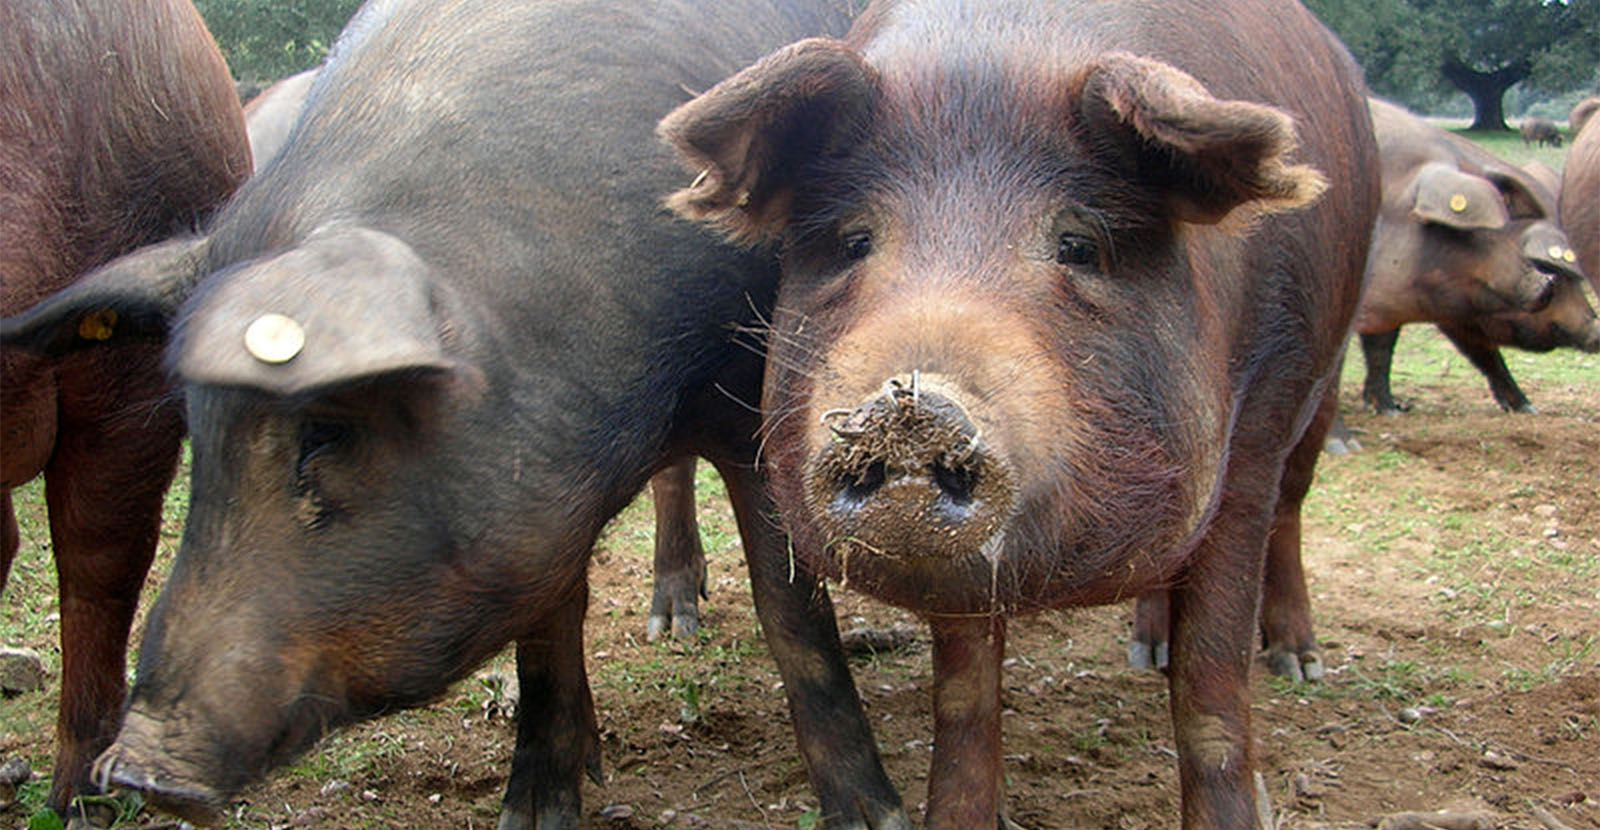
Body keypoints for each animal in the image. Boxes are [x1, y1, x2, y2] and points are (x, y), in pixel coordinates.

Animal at [656, 0, 1382, 825]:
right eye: (854, 240)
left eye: (1078, 244)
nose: (910, 408)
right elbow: (965, 692)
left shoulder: (1256, 424)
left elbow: (1211, 685)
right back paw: (1148, 651)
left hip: (1324, 376)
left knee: (1290, 511)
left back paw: (1298, 663)